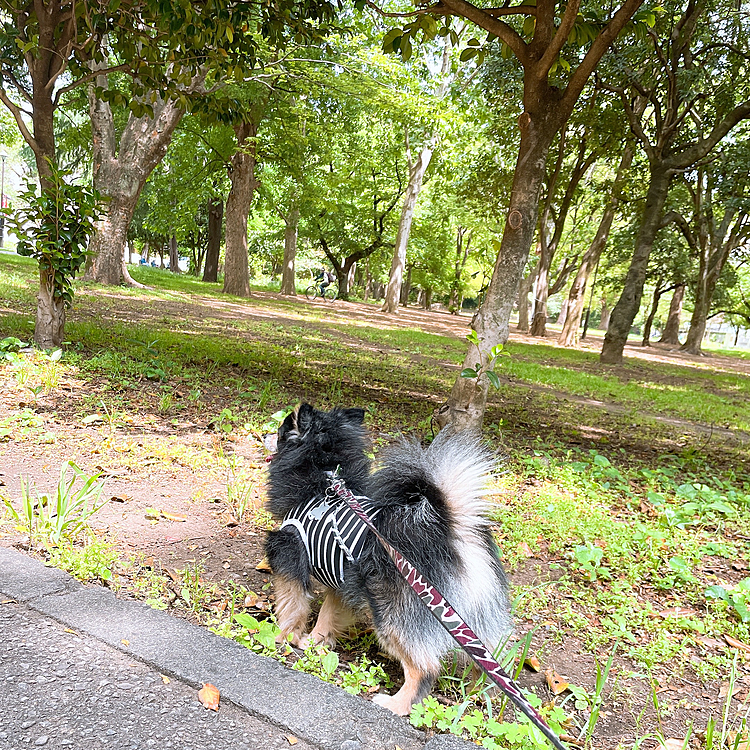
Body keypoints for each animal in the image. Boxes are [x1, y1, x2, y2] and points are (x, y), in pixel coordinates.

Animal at [262, 406, 516, 716]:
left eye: (282, 430)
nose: (264, 435)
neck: (324, 482)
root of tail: (451, 531)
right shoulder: (341, 578)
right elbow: (326, 615)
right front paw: (314, 641)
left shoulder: (288, 554)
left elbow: (293, 605)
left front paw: (283, 636)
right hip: (469, 616)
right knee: (490, 661)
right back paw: (479, 692)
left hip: (392, 614)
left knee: (425, 666)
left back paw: (397, 704)